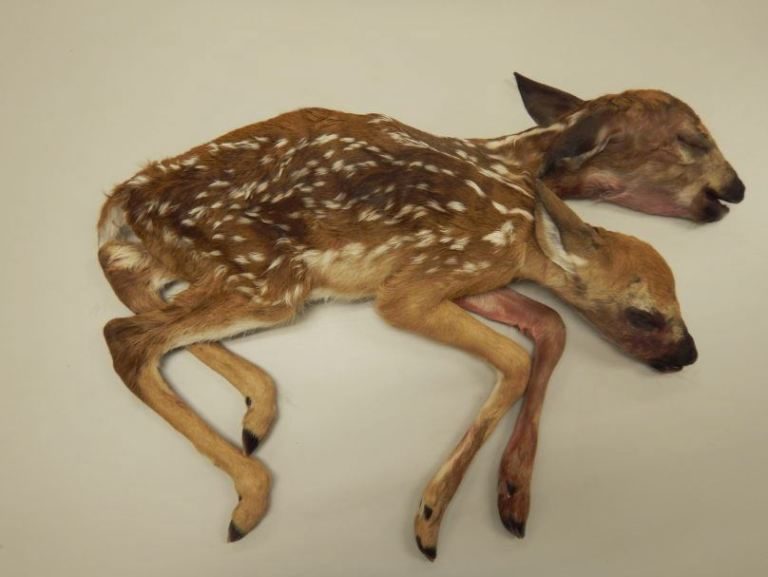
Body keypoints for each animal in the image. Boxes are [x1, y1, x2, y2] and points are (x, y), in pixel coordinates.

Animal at [97, 75, 736, 559]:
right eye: (690, 139)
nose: (738, 187)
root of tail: (122, 202)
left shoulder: (467, 279)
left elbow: (549, 326)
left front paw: (513, 493)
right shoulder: (415, 285)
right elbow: (516, 357)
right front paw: (430, 519)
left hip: (199, 268)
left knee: (134, 299)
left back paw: (257, 411)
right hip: (266, 278)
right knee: (126, 335)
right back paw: (249, 498)